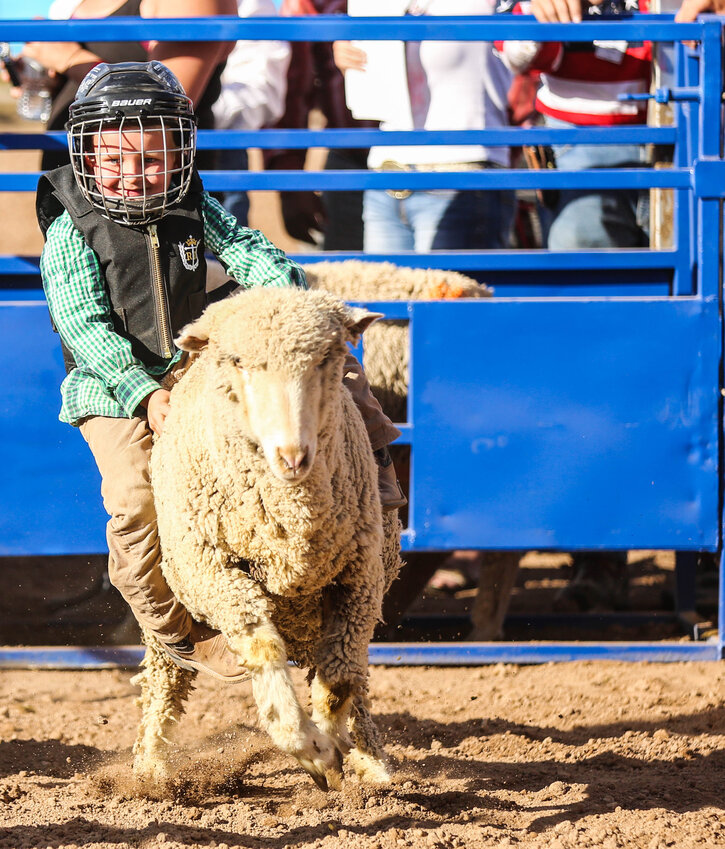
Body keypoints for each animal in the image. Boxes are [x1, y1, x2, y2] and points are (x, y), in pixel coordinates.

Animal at [132, 286, 402, 796]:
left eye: (327, 358)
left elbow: (339, 680)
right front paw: (309, 746)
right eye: (237, 361)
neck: (292, 522)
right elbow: (264, 653)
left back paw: (371, 760)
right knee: (166, 676)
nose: (292, 456)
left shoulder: (358, 578)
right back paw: (149, 768)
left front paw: (332, 744)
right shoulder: (214, 575)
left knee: (352, 673)